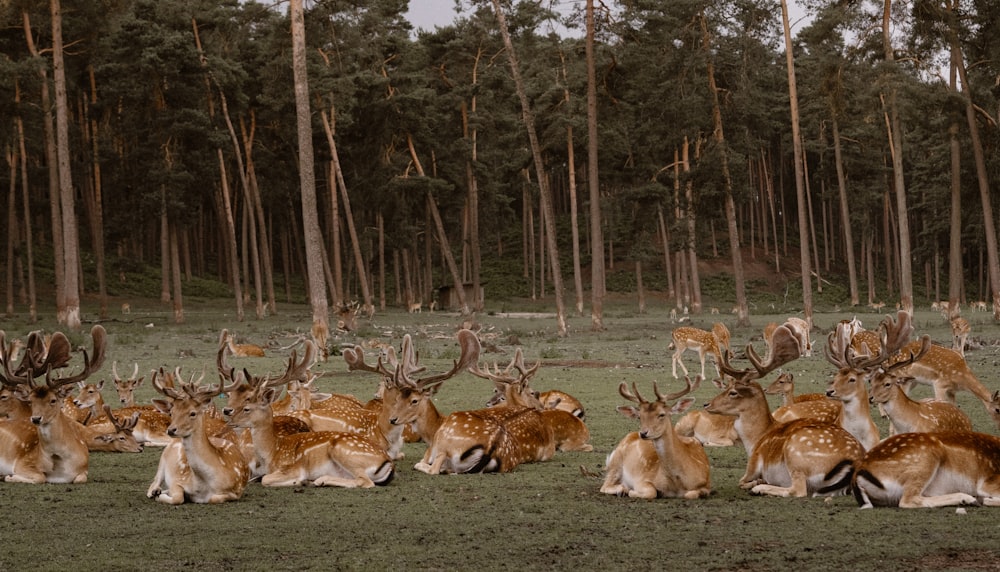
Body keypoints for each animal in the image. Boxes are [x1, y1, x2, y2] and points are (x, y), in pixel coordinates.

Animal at [0, 326, 107, 482]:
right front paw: (8, 476)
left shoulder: (84, 470)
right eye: (30, 400)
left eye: (53, 400)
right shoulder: (23, 462)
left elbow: (80, 478)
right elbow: (40, 477)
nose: (36, 419)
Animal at [704, 324, 868, 498]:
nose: (706, 404)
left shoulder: (753, 464)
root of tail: (854, 463)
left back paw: (760, 488)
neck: (755, 440)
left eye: (733, 392)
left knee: (798, 490)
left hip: (795, 453)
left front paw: (756, 483)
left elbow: (741, 481)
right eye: (727, 387)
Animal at [852, 432, 1000, 508]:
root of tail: (858, 473)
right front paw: (986, 499)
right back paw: (968, 499)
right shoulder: (989, 482)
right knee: (908, 500)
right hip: (927, 455)